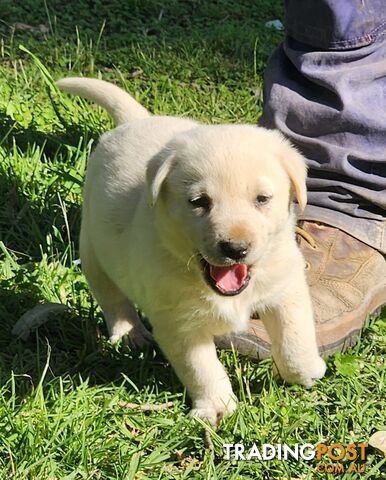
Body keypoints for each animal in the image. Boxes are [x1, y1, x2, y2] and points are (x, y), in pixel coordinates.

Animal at [56, 78, 326, 424]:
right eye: (199, 202)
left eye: (262, 199)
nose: (236, 248)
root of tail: (136, 121)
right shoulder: (179, 323)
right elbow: (202, 369)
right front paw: (217, 406)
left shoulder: (285, 286)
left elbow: (296, 337)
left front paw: (306, 371)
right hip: (94, 250)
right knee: (113, 298)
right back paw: (130, 333)